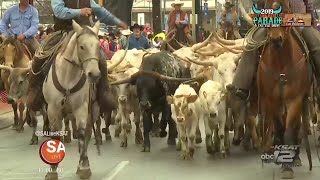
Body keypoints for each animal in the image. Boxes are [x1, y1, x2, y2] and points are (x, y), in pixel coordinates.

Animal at [43, 20, 101, 179]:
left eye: (98, 46)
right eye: (82, 46)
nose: (94, 75)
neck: (68, 76)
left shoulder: (81, 108)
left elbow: (81, 134)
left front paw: (84, 167)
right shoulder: (53, 109)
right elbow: (56, 136)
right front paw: (52, 170)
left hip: (92, 111)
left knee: (87, 134)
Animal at [258, 0, 312, 178]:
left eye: (286, 10)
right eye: (266, 11)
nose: (276, 39)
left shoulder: (295, 100)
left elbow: (289, 129)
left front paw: (288, 164)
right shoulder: (272, 100)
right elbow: (280, 128)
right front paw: (283, 160)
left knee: (295, 127)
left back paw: (296, 157)